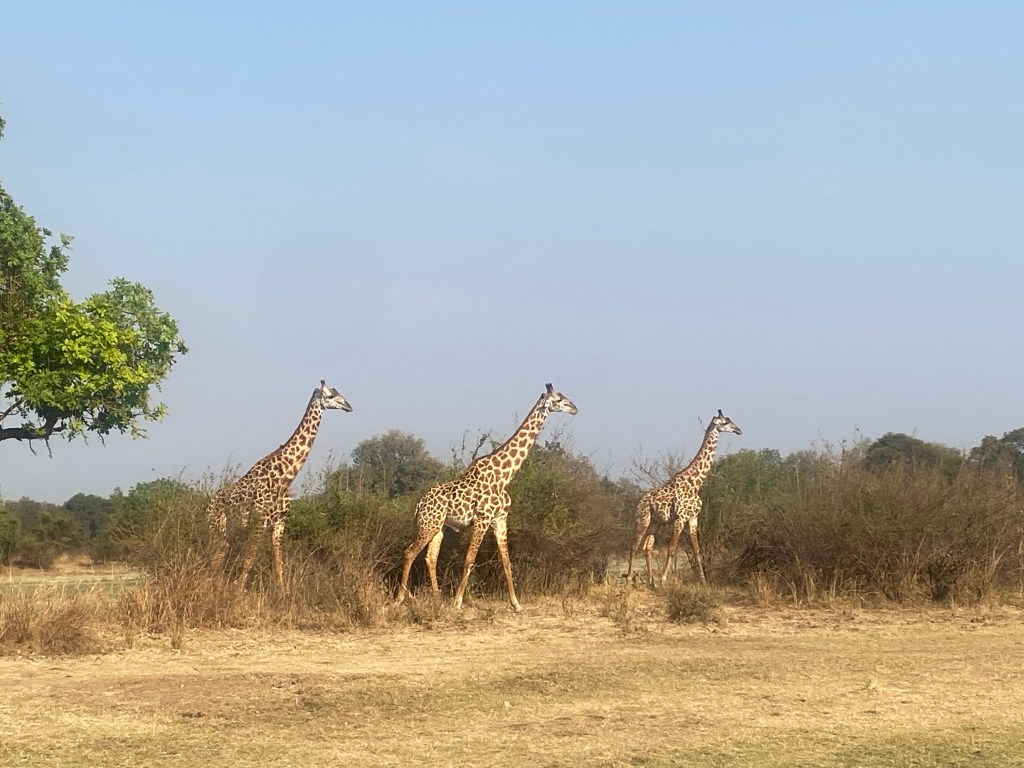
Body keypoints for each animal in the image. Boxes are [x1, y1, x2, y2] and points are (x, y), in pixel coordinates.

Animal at [206, 380, 352, 587]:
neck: (285, 476)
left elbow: (279, 565)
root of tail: (209, 503)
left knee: (219, 555)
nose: (349, 406)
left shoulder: (280, 523)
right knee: (214, 555)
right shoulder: (260, 520)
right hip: (215, 525)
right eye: (331, 396)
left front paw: (282, 592)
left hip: (229, 531)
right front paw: (238, 591)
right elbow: (248, 559)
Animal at [397, 383, 578, 612]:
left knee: (430, 557)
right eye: (558, 399)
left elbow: (506, 562)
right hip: (427, 524)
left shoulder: (500, 519)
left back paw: (437, 599)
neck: (505, 476)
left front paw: (516, 604)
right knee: (409, 552)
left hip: (439, 526)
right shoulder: (482, 518)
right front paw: (457, 602)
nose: (575, 408)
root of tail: (420, 503)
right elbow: (469, 560)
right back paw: (399, 599)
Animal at [626, 409, 741, 587]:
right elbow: (672, 549)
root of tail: (640, 501)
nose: (738, 430)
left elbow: (697, 549)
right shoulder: (680, 518)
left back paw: (652, 581)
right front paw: (664, 580)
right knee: (633, 547)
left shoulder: (693, 517)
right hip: (643, 519)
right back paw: (629, 581)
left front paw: (703, 581)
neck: (695, 484)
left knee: (647, 547)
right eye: (725, 422)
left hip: (655, 523)